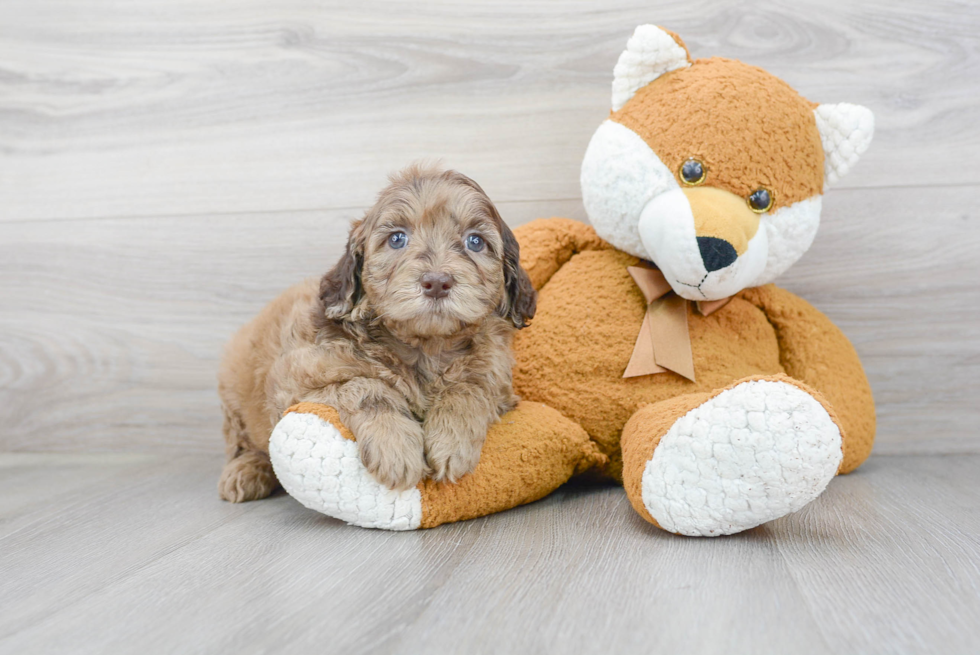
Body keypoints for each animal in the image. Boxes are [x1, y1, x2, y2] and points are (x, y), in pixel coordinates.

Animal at [218, 164, 536, 502]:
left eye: (475, 242)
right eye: (397, 239)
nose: (437, 282)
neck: (425, 347)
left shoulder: (497, 380)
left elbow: (469, 387)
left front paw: (452, 441)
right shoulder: (298, 382)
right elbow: (365, 386)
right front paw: (395, 448)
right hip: (234, 395)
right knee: (242, 443)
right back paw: (245, 471)